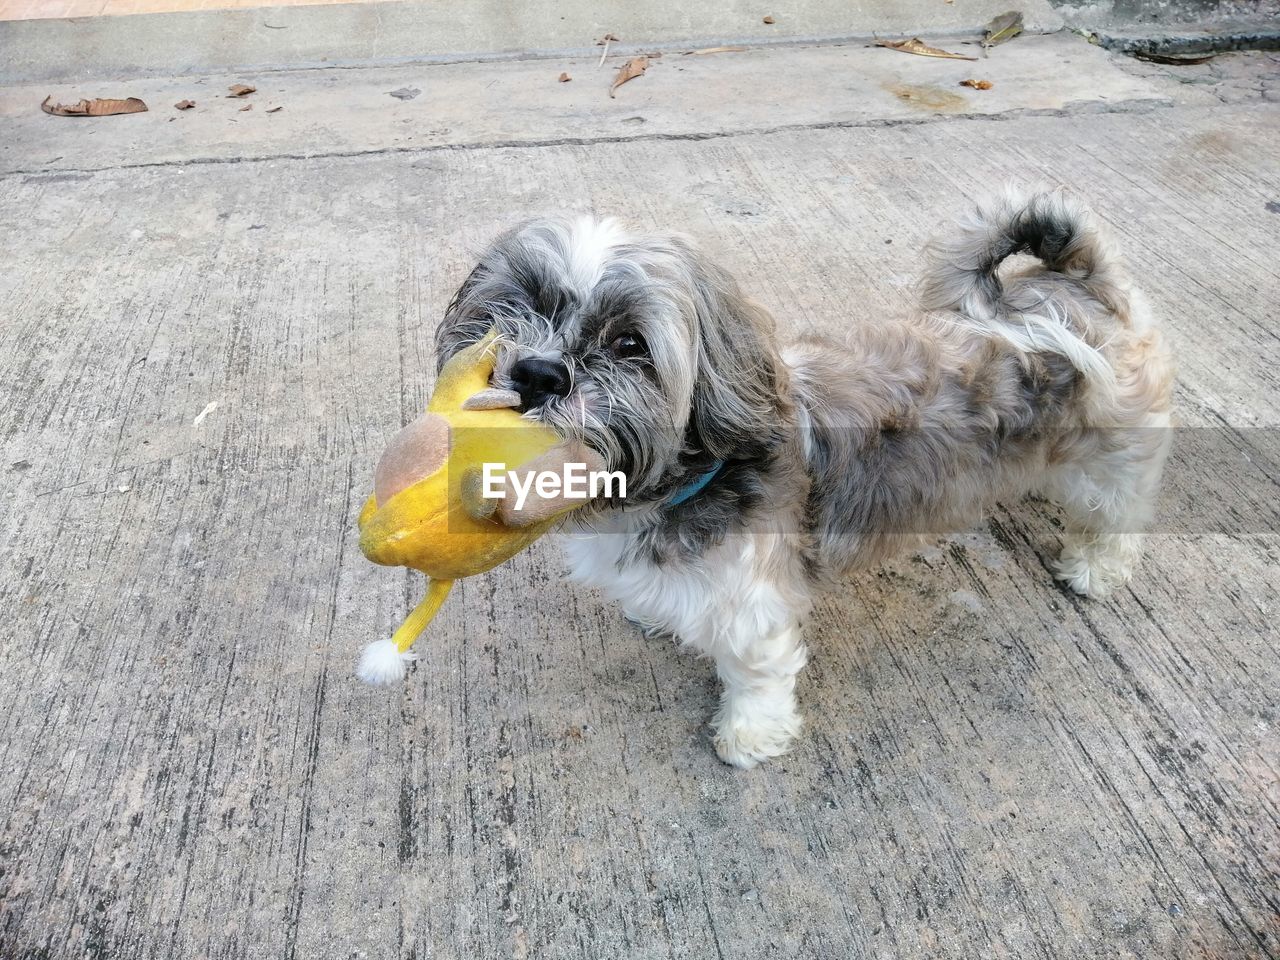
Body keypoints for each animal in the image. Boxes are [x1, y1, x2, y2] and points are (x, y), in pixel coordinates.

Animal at [435, 188, 1172, 773]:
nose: (537, 374)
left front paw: (749, 734)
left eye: (629, 345)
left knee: (1120, 515)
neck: (680, 483)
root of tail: (1077, 283)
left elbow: (755, 673)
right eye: (518, 305)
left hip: (1114, 461)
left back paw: (1096, 566)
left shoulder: (752, 605)